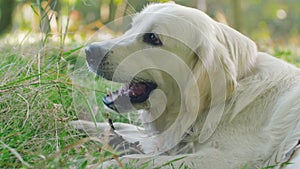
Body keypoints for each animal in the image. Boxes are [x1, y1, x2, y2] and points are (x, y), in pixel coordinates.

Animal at [71, 2, 300, 169]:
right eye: (132, 27)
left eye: (153, 37)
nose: (89, 51)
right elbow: (121, 127)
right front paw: (79, 125)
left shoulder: (229, 159)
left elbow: (148, 161)